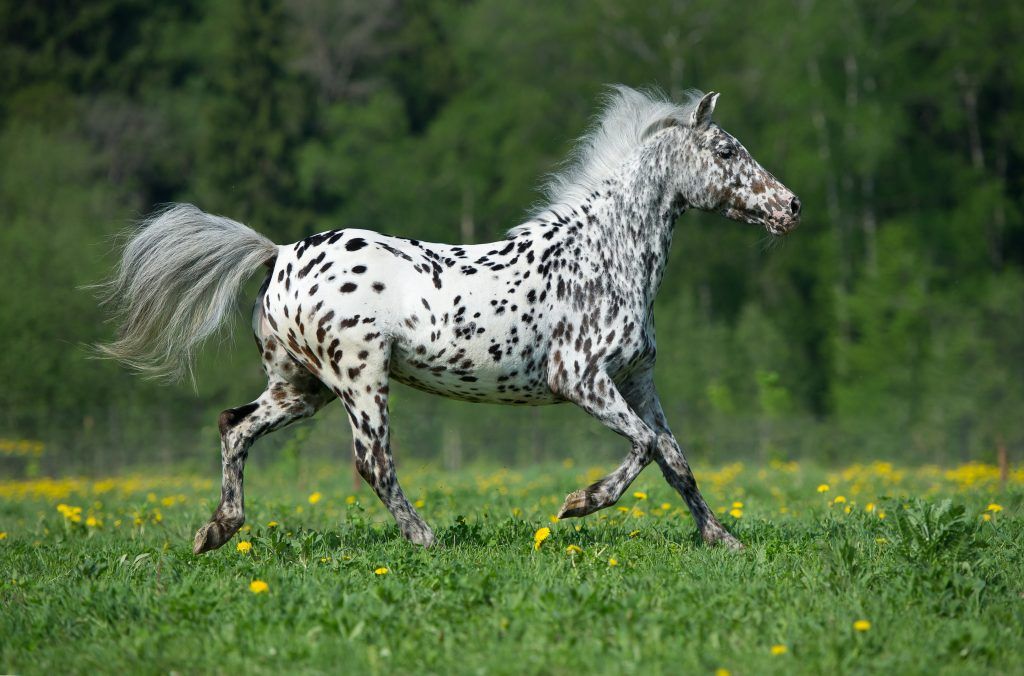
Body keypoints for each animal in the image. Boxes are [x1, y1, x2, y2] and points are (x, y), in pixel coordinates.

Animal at [97, 86, 798, 553]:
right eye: (726, 150)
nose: (790, 207)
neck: (603, 256)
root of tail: (280, 255)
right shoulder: (580, 378)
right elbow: (647, 447)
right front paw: (578, 503)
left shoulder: (636, 379)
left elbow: (676, 458)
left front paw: (723, 540)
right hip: (360, 381)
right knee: (373, 462)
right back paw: (425, 539)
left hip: (301, 387)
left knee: (234, 426)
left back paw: (216, 531)